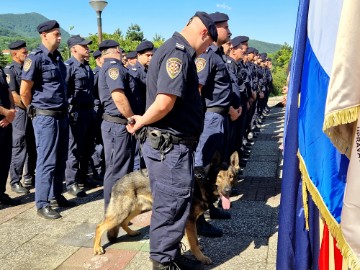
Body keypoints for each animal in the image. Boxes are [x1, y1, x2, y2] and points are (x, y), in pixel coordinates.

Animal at [93, 151, 239, 264]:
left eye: (231, 177)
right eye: (219, 176)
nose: (228, 191)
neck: (203, 181)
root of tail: (118, 181)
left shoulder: (190, 222)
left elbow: (194, 239)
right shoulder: (189, 221)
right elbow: (193, 242)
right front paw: (201, 258)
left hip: (136, 209)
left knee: (123, 222)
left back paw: (131, 232)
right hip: (121, 212)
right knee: (100, 226)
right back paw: (97, 248)